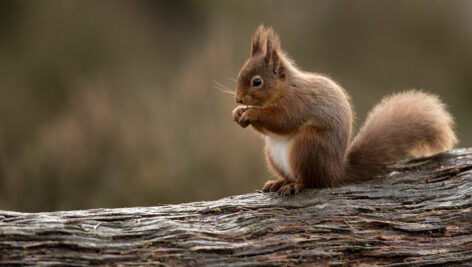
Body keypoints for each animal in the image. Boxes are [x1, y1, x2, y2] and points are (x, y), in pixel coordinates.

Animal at [232, 25, 458, 197]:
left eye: (257, 82)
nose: (238, 98)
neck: (285, 88)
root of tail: (335, 171)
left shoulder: (296, 104)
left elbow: (282, 121)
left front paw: (251, 113)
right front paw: (238, 112)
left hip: (307, 146)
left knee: (311, 181)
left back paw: (294, 185)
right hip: (274, 154)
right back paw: (278, 182)